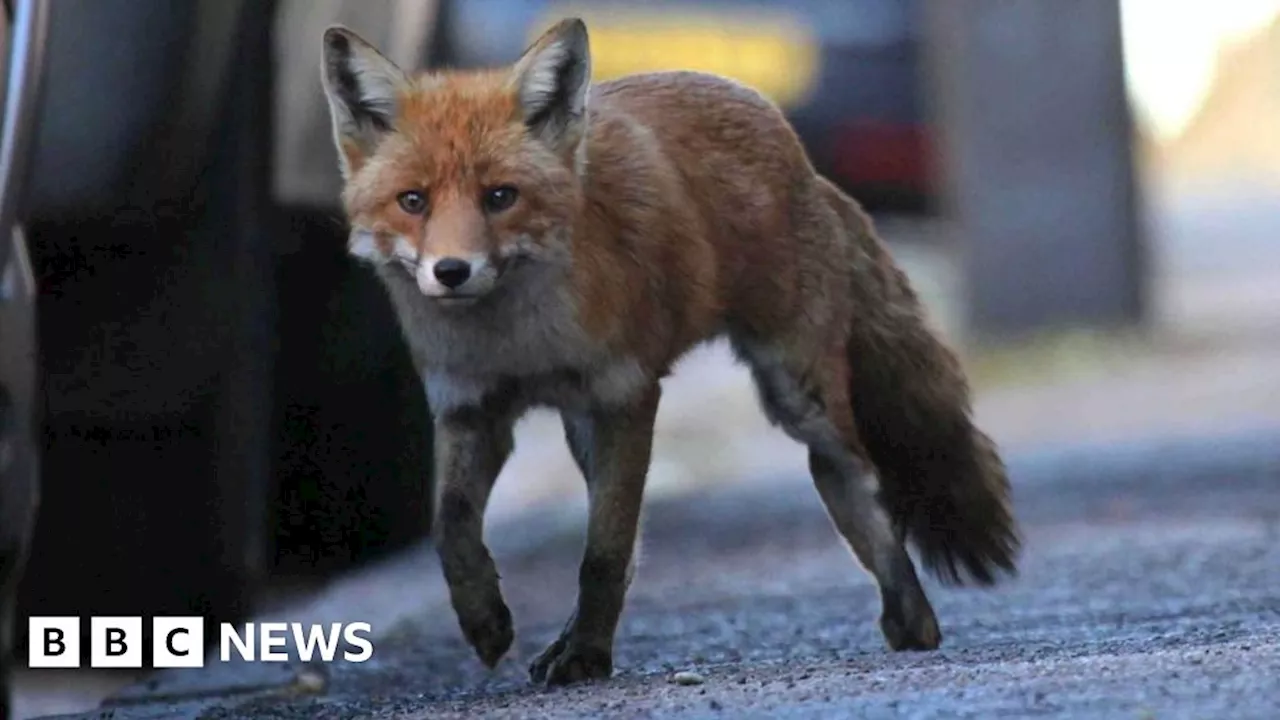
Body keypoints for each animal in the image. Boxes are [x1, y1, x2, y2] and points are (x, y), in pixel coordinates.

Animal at [320, 18, 1018, 681]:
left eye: (500, 196)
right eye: (413, 201)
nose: (452, 272)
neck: (520, 345)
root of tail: (804, 160)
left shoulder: (626, 396)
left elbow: (602, 552)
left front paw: (587, 659)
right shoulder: (472, 410)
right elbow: (452, 530)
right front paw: (485, 620)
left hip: (798, 399)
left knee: (862, 490)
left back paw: (912, 618)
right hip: (590, 430)